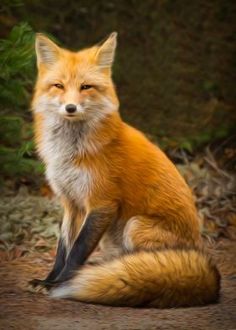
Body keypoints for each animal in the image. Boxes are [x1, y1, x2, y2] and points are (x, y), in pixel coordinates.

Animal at [30, 32, 220, 306]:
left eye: (86, 87)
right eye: (59, 86)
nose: (70, 108)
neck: (71, 152)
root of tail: (199, 251)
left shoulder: (101, 202)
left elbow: (77, 251)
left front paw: (60, 284)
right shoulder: (71, 202)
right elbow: (63, 249)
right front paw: (48, 280)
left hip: (135, 225)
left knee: (144, 265)